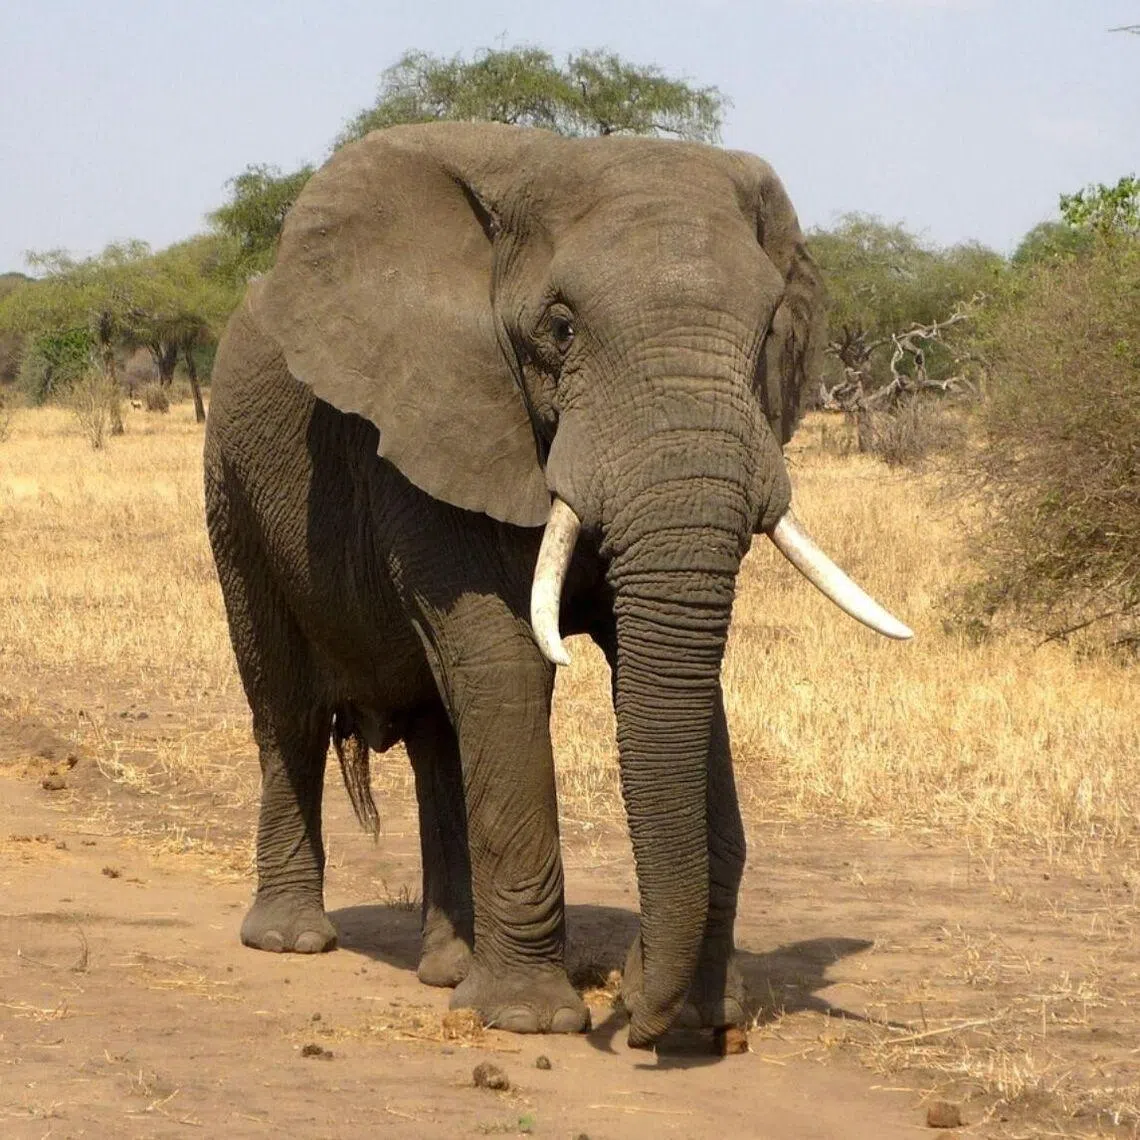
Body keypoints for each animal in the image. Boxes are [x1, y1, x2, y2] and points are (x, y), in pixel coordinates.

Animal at [203, 122, 911, 1049]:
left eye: (766, 334)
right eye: (562, 327)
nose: (637, 1015)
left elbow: (673, 675)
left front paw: (702, 1017)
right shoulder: (438, 418)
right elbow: (507, 663)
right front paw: (528, 1022)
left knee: (439, 733)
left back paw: (447, 969)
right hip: (232, 485)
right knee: (284, 706)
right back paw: (292, 941)